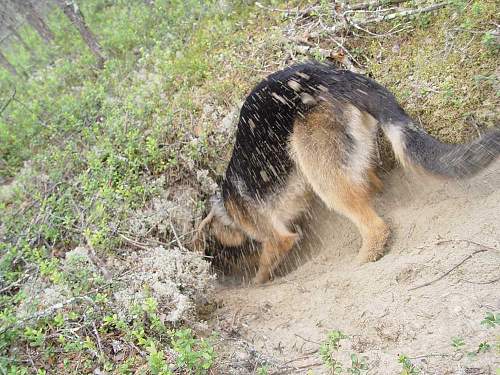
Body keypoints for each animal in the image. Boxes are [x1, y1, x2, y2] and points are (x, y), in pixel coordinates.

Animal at [192, 61, 500, 284]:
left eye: (222, 253)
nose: (222, 276)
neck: (228, 210)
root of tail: (337, 77)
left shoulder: (275, 236)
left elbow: (266, 263)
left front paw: (256, 282)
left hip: (321, 172)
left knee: (375, 226)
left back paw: (364, 259)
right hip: (352, 160)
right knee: (372, 186)